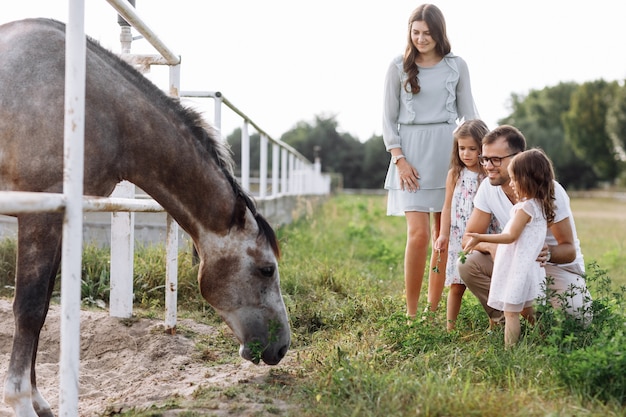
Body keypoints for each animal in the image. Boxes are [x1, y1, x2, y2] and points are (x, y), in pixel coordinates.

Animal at [0, 17, 290, 414]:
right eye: (266, 270)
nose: (283, 346)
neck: (94, 104)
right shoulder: (40, 216)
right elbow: (28, 309)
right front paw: (20, 402)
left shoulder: (59, 218)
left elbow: (43, 309)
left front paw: (39, 400)